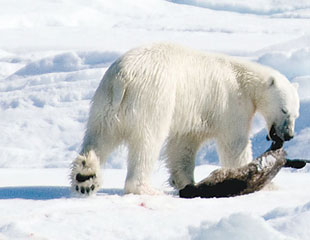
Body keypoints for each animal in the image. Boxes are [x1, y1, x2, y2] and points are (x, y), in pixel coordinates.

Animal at [69, 41, 298, 195]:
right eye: (284, 110)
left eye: (296, 114)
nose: (288, 135)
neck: (244, 78)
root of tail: (123, 79)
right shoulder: (231, 103)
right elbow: (235, 145)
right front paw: (267, 182)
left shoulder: (193, 115)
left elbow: (182, 146)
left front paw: (184, 181)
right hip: (152, 99)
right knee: (147, 142)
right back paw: (145, 189)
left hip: (104, 104)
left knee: (99, 137)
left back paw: (86, 177)